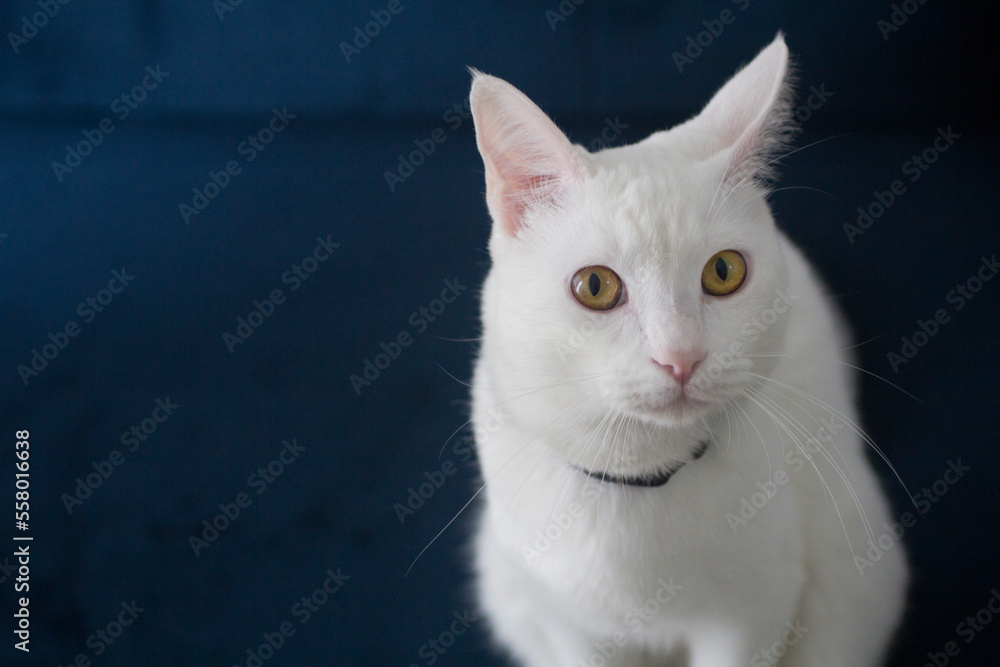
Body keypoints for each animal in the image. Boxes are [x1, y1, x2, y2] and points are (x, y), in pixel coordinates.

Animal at [464, 35, 912, 667]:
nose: (681, 356)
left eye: (724, 272)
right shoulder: (568, 627)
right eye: (594, 286)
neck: (641, 480)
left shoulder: (754, 614)